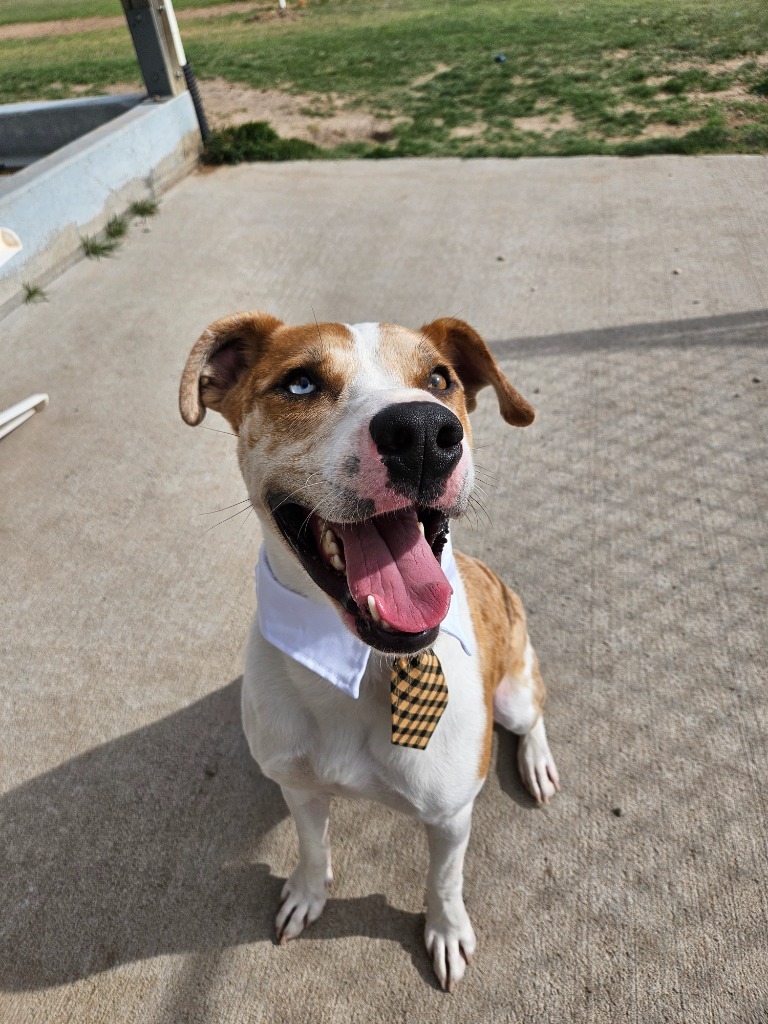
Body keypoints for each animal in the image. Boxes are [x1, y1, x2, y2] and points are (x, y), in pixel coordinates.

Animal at [179, 313, 561, 991]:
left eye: (439, 379)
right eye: (300, 384)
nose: (424, 433)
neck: (359, 663)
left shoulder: (450, 816)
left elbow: (444, 880)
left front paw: (446, 930)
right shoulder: (298, 787)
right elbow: (311, 847)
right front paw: (307, 893)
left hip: (514, 694)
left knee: (532, 715)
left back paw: (537, 763)